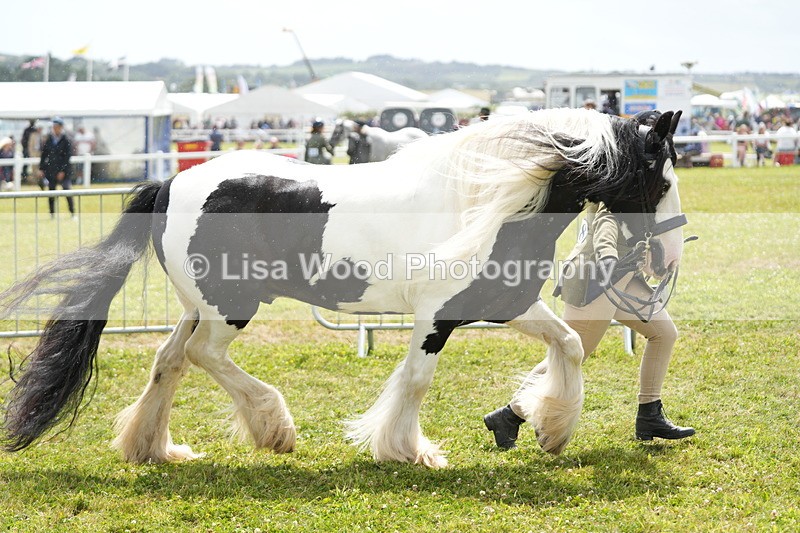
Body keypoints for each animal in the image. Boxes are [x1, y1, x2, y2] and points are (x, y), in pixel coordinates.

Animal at [0, 108, 685, 468]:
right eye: (664, 178)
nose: (670, 254)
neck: (491, 200)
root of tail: (169, 183)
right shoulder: (436, 318)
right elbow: (415, 381)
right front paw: (406, 449)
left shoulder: (503, 303)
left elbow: (568, 345)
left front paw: (551, 429)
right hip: (231, 308)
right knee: (202, 356)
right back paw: (274, 428)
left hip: (199, 306)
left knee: (169, 360)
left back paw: (154, 448)